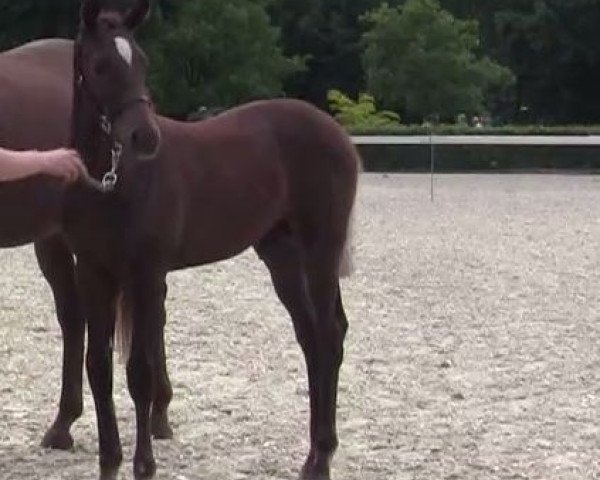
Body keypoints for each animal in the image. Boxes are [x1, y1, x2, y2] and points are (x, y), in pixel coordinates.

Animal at [67, 0, 356, 480]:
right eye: (100, 64)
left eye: (142, 61)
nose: (144, 137)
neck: (116, 182)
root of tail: (337, 133)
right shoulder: (93, 274)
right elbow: (99, 368)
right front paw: (109, 463)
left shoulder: (147, 275)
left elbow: (141, 372)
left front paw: (144, 465)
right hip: (282, 255)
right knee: (312, 338)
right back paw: (314, 455)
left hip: (321, 249)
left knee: (329, 335)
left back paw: (321, 458)